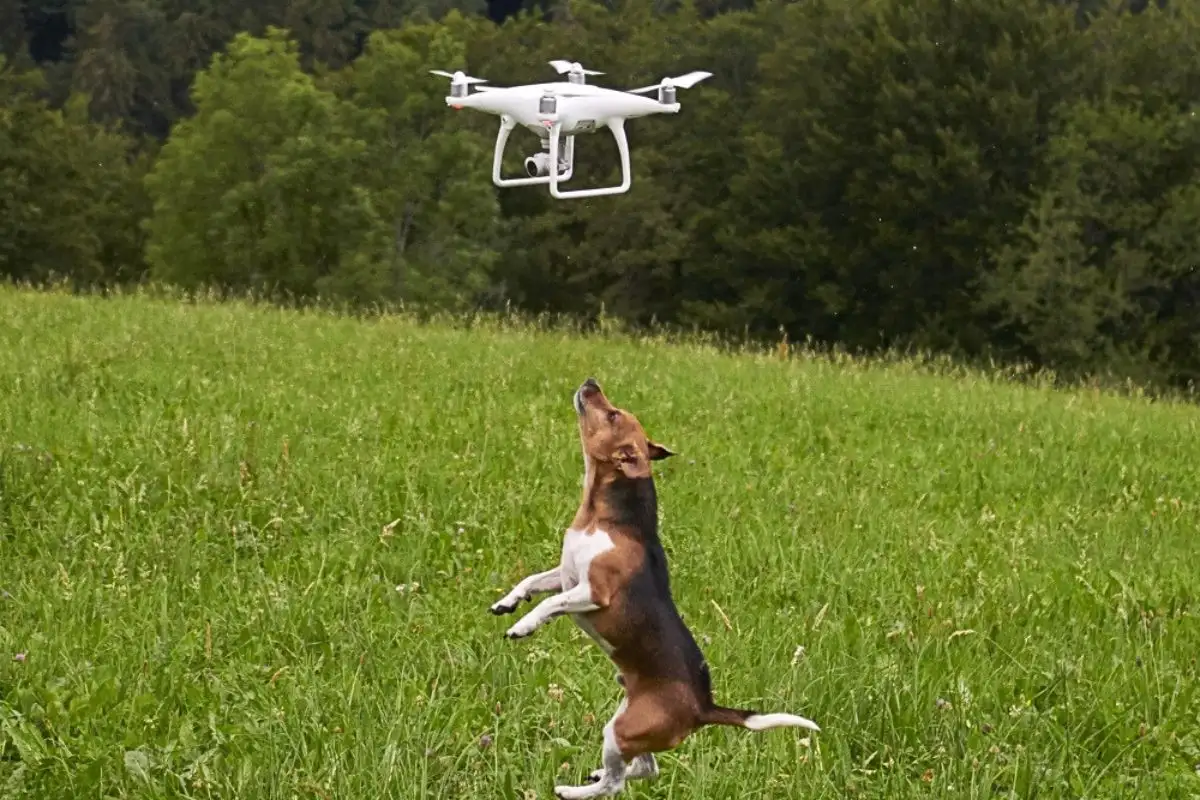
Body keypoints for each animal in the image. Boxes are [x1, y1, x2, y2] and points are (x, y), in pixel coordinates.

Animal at [484, 379, 816, 796]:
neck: (603, 515)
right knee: (645, 768)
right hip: (630, 725)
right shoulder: (567, 574)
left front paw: (523, 625)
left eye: (612, 415)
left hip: (623, 729)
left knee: (617, 783)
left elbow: (550, 604)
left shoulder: (592, 592)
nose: (591, 383)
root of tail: (703, 708)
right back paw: (598, 775)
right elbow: (531, 582)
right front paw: (508, 603)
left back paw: (573, 790)